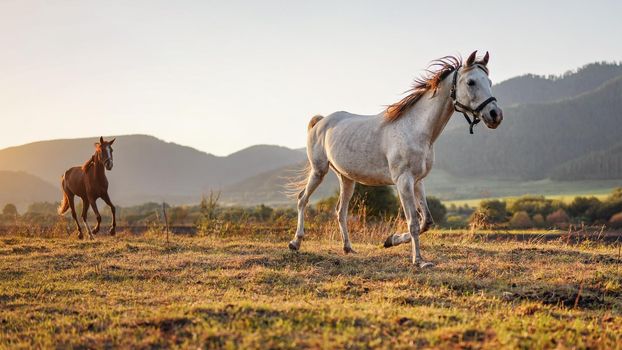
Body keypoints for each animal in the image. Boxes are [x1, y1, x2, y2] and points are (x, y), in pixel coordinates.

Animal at [290, 50, 504, 266]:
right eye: (471, 82)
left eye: (489, 81)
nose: (495, 115)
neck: (415, 128)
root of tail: (321, 121)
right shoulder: (403, 181)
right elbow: (414, 222)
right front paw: (419, 260)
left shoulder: (418, 181)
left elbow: (426, 221)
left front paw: (390, 240)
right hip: (319, 170)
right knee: (302, 200)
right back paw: (295, 243)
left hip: (347, 179)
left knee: (340, 211)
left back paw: (348, 248)